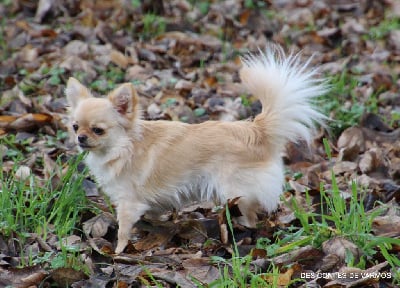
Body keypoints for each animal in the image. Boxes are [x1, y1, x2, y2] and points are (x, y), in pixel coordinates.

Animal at [65, 44, 326, 252]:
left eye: (98, 130)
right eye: (75, 126)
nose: (81, 137)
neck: (123, 146)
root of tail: (256, 130)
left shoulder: (128, 203)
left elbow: (122, 230)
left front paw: (118, 252)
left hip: (236, 192)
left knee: (251, 215)